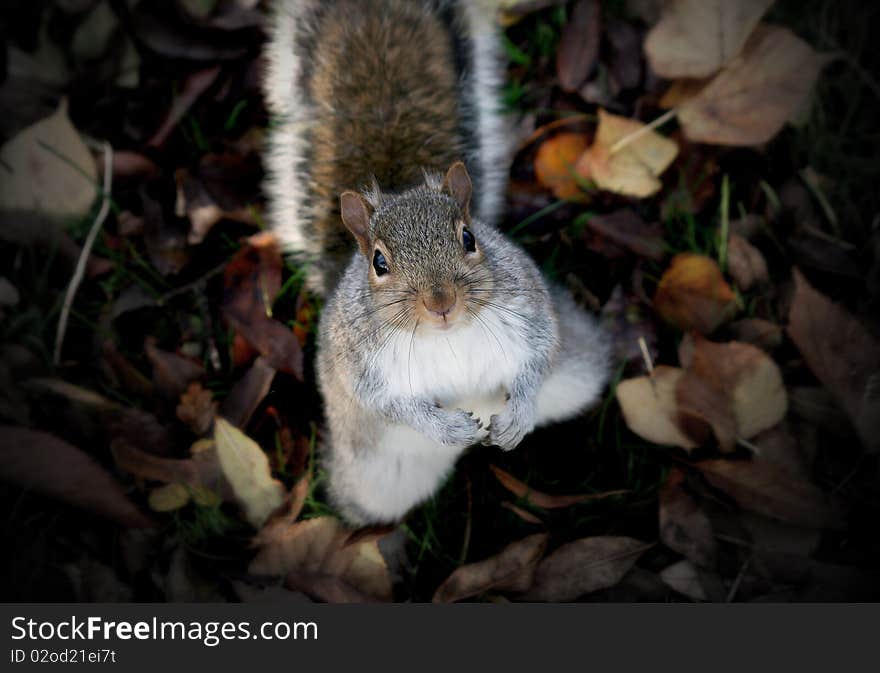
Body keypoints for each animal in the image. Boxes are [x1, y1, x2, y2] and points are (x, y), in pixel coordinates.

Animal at [262, 0, 612, 524]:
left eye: (469, 237)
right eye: (379, 263)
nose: (441, 302)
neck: (445, 335)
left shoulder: (531, 314)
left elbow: (537, 358)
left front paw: (519, 414)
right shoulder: (361, 367)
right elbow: (390, 404)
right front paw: (447, 428)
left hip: (577, 376)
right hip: (376, 475)